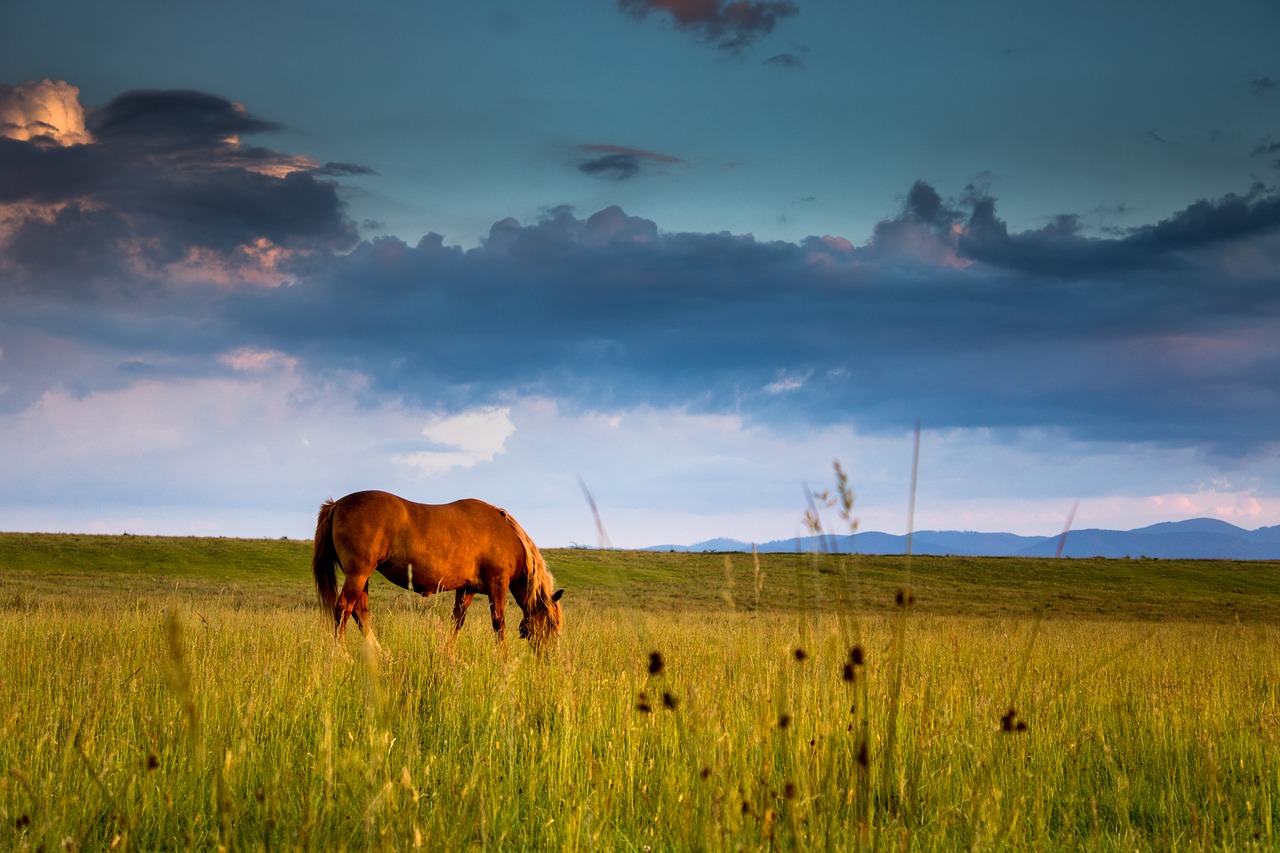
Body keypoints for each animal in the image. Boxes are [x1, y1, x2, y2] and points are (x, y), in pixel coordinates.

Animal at [312, 489, 563, 648]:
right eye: (552, 623)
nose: (549, 658)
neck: (506, 535)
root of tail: (336, 504)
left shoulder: (467, 589)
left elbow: (457, 622)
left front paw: (449, 655)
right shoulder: (497, 585)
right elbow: (498, 624)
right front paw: (503, 659)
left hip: (362, 577)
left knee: (360, 613)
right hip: (358, 574)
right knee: (343, 610)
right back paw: (343, 655)